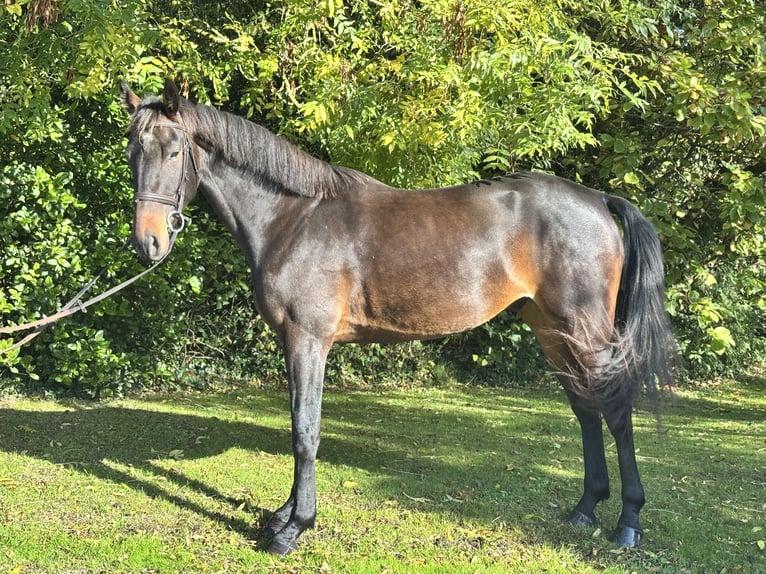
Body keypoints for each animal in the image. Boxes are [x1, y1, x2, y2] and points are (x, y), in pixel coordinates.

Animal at [119, 78, 676, 556]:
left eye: (173, 151)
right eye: (131, 152)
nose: (148, 243)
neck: (293, 217)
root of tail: (598, 200)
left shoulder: (308, 339)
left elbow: (305, 431)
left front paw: (294, 528)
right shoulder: (294, 343)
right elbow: (298, 422)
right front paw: (281, 516)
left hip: (587, 331)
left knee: (615, 407)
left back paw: (628, 522)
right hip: (552, 330)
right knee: (586, 408)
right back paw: (585, 509)